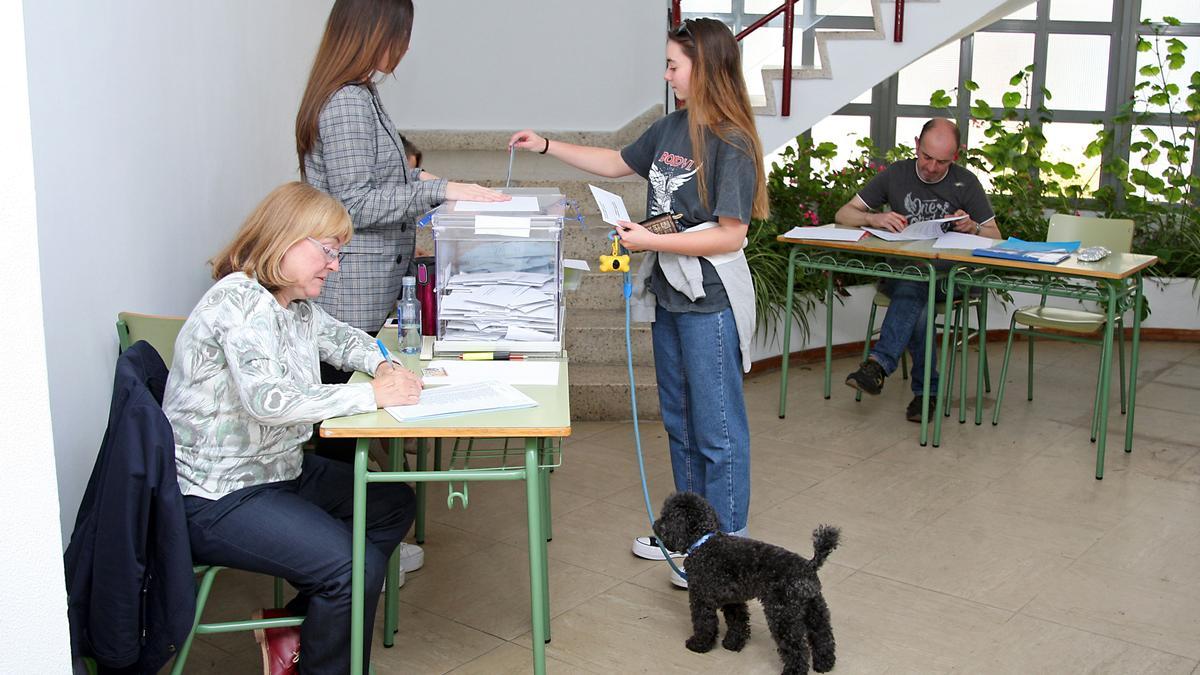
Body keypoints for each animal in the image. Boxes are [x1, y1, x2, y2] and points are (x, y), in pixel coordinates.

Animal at [652, 487, 840, 672]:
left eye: (666, 516)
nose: (655, 525)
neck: (703, 543)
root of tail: (809, 565)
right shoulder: (733, 600)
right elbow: (738, 622)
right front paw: (733, 643)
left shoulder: (701, 599)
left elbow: (704, 623)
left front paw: (699, 644)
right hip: (814, 609)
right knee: (823, 636)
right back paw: (824, 664)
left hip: (782, 616)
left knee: (797, 647)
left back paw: (794, 670)